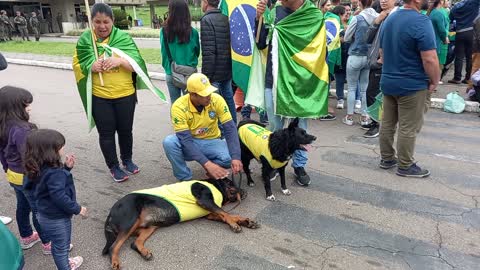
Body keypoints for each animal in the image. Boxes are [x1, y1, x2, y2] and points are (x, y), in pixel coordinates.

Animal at [101, 178, 258, 268]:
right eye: (232, 183)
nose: (245, 191)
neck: (216, 185)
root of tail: (111, 212)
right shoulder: (205, 201)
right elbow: (226, 213)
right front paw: (235, 224)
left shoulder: (209, 213)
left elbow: (227, 215)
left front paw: (245, 221)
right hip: (130, 220)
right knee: (114, 246)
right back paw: (115, 262)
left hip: (150, 226)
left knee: (134, 243)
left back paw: (145, 253)